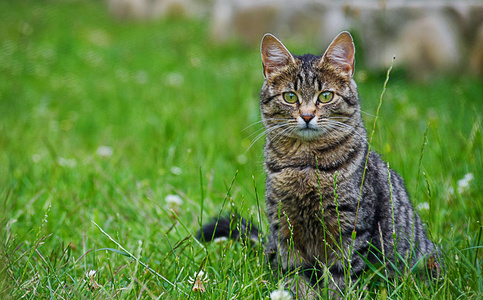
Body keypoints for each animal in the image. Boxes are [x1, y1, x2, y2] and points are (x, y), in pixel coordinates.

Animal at [198, 30, 442, 298]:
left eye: (325, 96)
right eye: (290, 97)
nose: (306, 116)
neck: (305, 166)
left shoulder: (350, 230)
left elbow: (341, 278)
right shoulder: (286, 231)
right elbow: (297, 277)